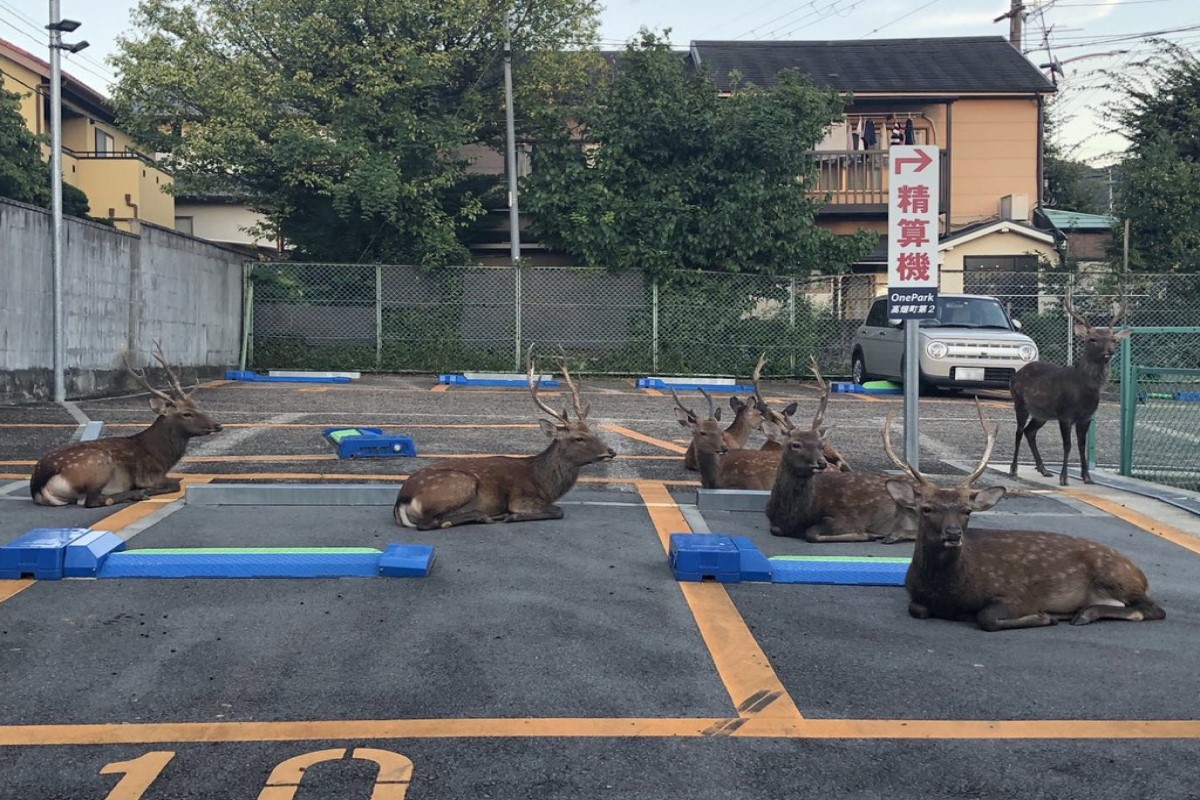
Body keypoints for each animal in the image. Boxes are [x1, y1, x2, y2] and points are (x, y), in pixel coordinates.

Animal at [30, 344, 223, 507]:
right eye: (186, 414)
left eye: (197, 406)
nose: (218, 425)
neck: (160, 456)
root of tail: (38, 485)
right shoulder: (149, 475)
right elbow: (174, 483)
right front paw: (146, 489)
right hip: (96, 467)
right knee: (91, 500)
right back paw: (137, 494)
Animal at [394, 352, 616, 530]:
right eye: (579, 438)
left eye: (592, 431)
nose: (611, 451)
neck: (544, 483)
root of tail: (401, 501)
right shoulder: (521, 498)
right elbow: (558, 510)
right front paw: (513, 516)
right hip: (460, 483)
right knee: (430, 522)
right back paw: (486, 515)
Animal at [764, 358, 917, 543]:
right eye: (795, 444)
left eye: (821, 445)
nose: (821, 463)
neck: (795, 516)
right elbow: (776, 529)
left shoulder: (848, 517)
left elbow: (812, 533)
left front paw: (867, 534)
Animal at [883, 404, 1166, 631]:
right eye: (927, 508)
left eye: (967, 510)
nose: (953, 534)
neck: (947, 591)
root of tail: (1141, 574)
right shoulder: (915, 596)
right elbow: (917, 609)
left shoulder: (1017, 594)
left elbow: (987, 617)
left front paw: (1044, 616)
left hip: (1117, 575)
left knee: (1153, 609)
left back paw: (1084, 613)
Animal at [1009, 296, 1130, 486]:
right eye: (1093, 339)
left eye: (1113, 339)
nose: (1109, 352)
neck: (1083, 391)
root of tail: (1016, 374)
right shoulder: (1065, 414)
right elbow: (1067, 445)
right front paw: (1064, 478)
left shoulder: (1086, 417)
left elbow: (1081, 445)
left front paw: (1087, 477)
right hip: (1019, 402)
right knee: (1019, 431)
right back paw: (1013, 470)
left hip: (1042, 413)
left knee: (1030, 431)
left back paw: (1044, 470)